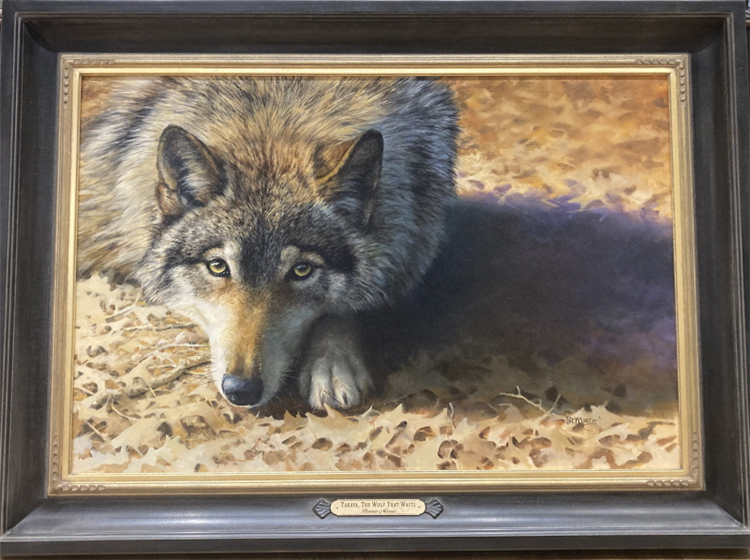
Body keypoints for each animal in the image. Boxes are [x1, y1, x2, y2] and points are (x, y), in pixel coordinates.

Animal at [77, 77, 459, 410]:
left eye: (301, 271)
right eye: (218, 267)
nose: (240, 389)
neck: (274, 107)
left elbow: (341, 311)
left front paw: (332, 364)